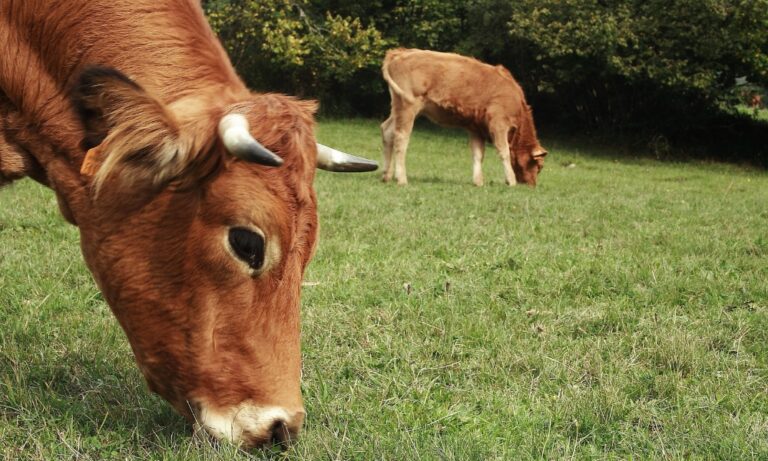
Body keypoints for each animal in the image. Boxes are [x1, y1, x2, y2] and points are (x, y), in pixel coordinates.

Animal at [380, 48, 547, 186]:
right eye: (539, 166)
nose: (532, 185)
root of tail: (400, 52)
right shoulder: (498, 124)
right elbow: (503, 151)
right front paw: (511, 181)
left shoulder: (476, 128)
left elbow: (478, 154)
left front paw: (478, 182)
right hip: (407, 107)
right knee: (401, 138)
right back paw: (401, 179)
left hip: (398, 108)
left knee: (387, 131)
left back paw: (386, 176)